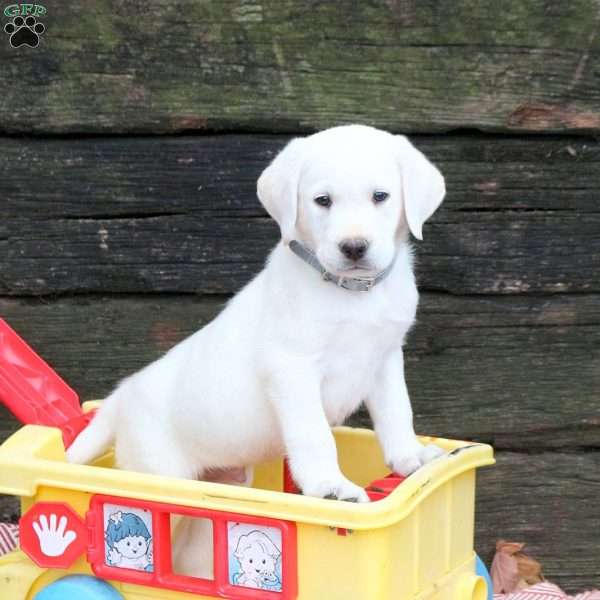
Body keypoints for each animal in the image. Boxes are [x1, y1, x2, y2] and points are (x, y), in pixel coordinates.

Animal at [69, 123, 446, 506]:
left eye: (380, 196)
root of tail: (121, 397)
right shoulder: (292, 369)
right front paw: (329, 487)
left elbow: (397, 412)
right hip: (160, 473)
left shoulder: (384, 357)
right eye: (323, 200)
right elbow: (314, 434)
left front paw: (410, 458)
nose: (354, 247)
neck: (354, 293)